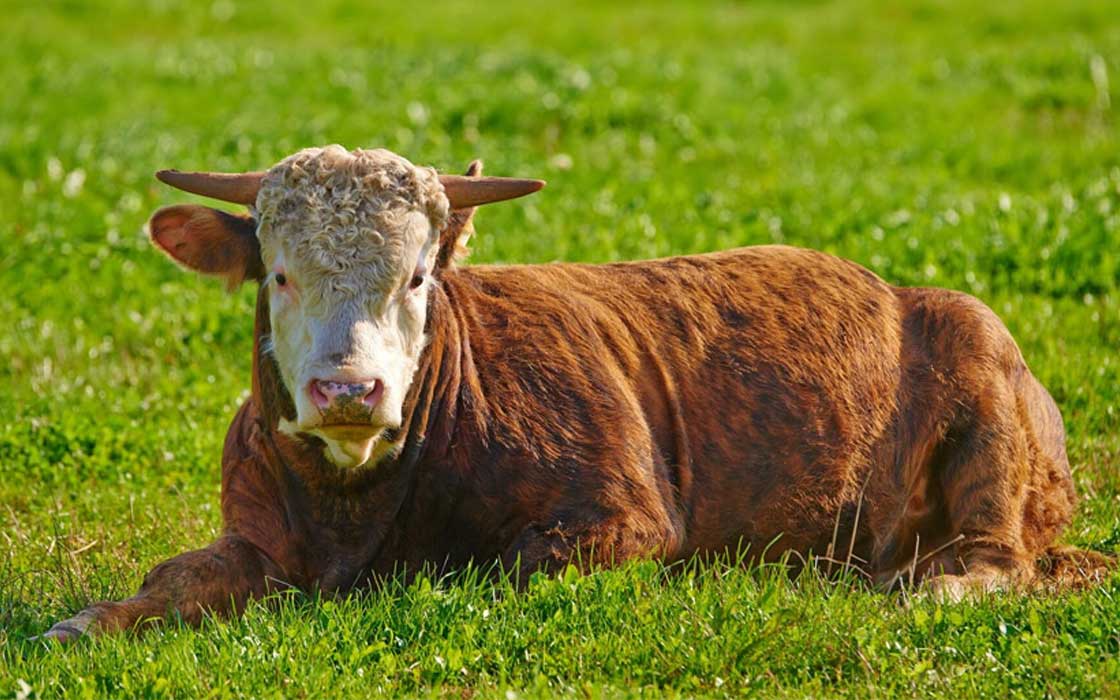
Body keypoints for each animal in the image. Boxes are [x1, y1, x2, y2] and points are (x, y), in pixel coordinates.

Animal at [42, 145, 1112, 641]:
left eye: (418, 277)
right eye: (277, 274)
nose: (349, 389)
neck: (360, 507)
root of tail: (906, 294)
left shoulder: (622, 518)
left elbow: (492, 569)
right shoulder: (256, 534)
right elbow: (174, 580)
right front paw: (90, 621)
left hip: (985, 379)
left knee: (999, 560)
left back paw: (924, 585)